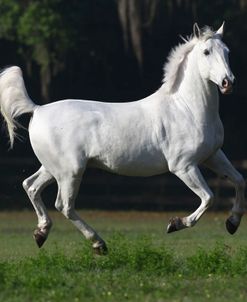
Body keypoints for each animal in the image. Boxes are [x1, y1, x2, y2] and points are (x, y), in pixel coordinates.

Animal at [0, 22, 244, 254]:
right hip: (70, 172)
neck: (186, 108)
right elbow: (209, 197)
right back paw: (98, 244)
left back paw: (41, 233)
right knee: (64, 205)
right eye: (206, 51)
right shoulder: (184, 166)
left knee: (31, 186)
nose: (228, 82)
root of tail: (37, 109)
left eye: (227, 51)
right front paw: (175, 224)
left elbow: (239, 180)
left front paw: (232, 223)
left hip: (53, 169)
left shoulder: (212, 156)